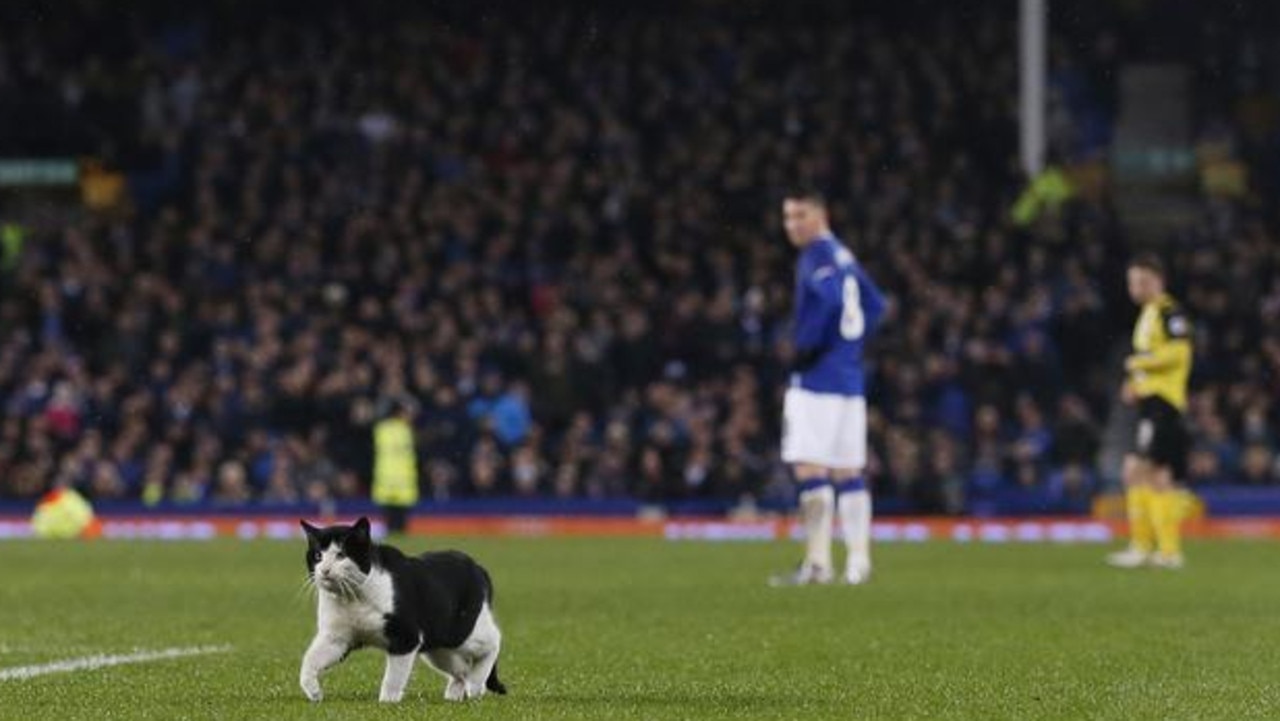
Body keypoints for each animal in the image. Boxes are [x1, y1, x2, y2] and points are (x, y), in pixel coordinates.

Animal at [298, 519, 504, 706]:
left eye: (341, 555)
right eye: (317, 555)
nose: (325, 570)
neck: (353, 598)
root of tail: (478, 567)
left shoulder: (406, 638)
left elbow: (393, 677)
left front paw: (387, 703)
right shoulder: (337, 639)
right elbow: (310, 661)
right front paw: (314, 692)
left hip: (460, 632)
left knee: (493, 640)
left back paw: (476, 685)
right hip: (437, 646)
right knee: (462, 669)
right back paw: (455, 695)